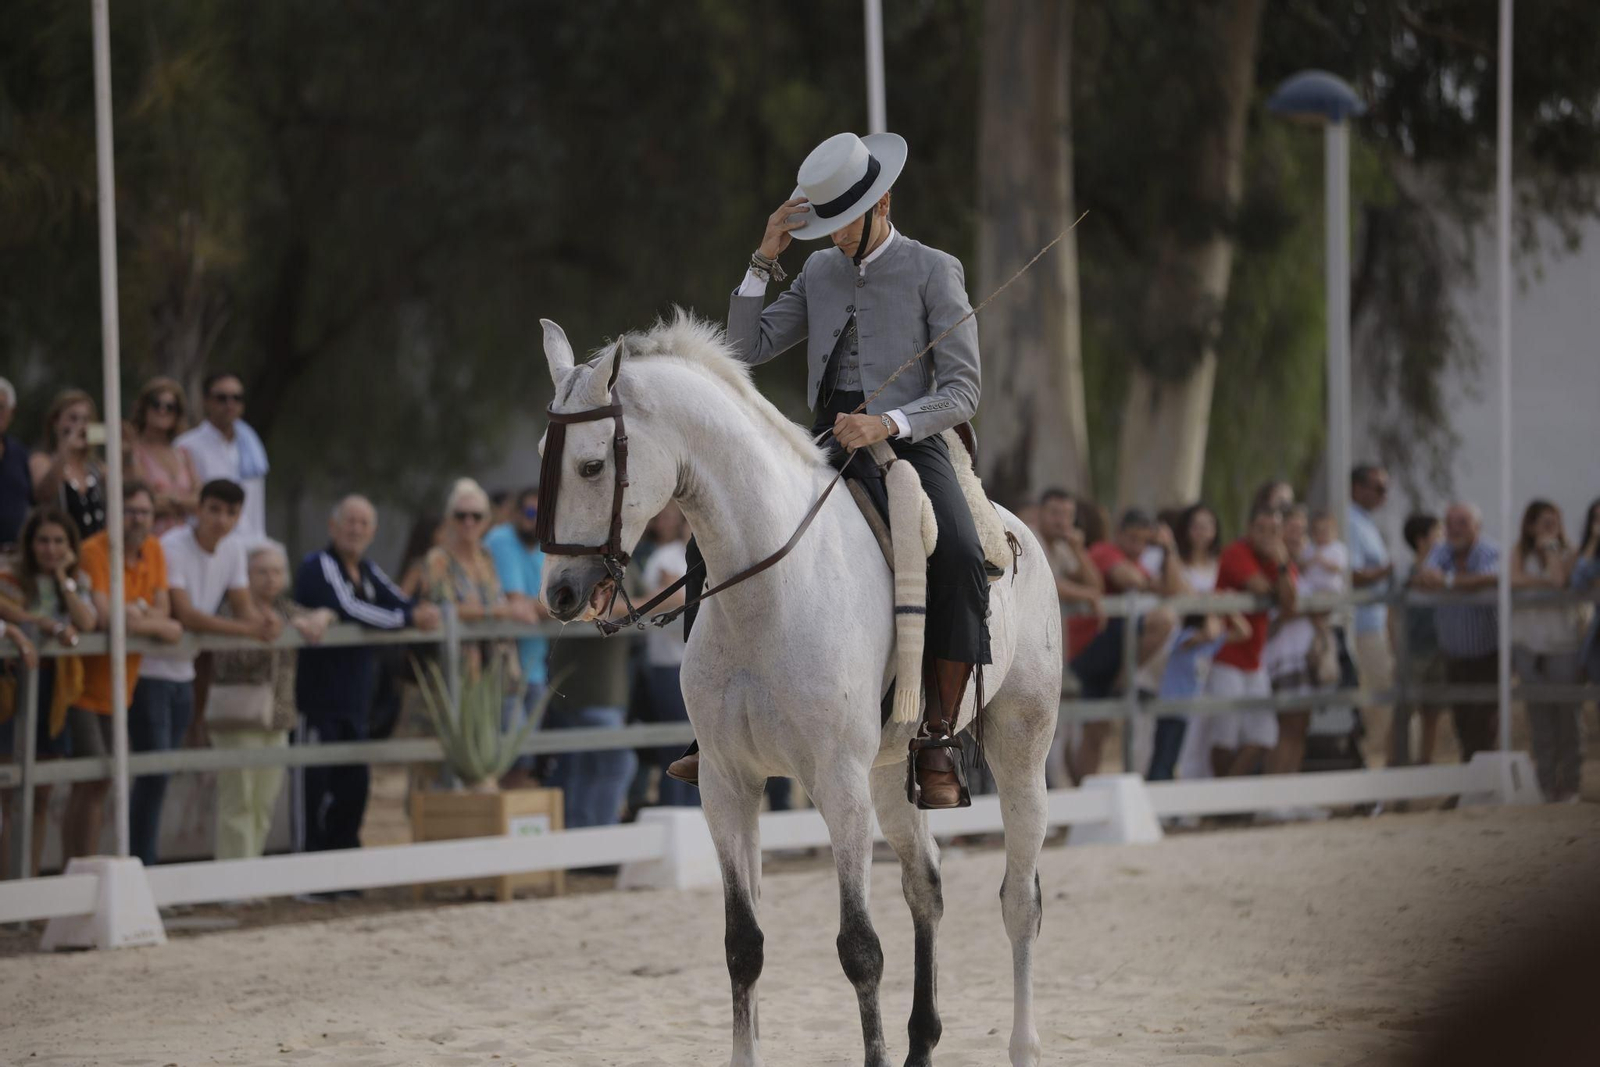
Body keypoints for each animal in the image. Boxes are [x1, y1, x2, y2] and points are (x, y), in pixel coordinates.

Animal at [537, 311, 1062, 1067]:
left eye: (591, 465)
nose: (560, 594)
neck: (770, 589)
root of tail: (1019, 531)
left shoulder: (836, 782)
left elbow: (859, 948)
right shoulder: (726, 784)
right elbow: (743, 946)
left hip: (1019, 751)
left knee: (1019, 899)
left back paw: (1023, 1044)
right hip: (889, 774)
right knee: (925, 886)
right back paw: (922, 1041)